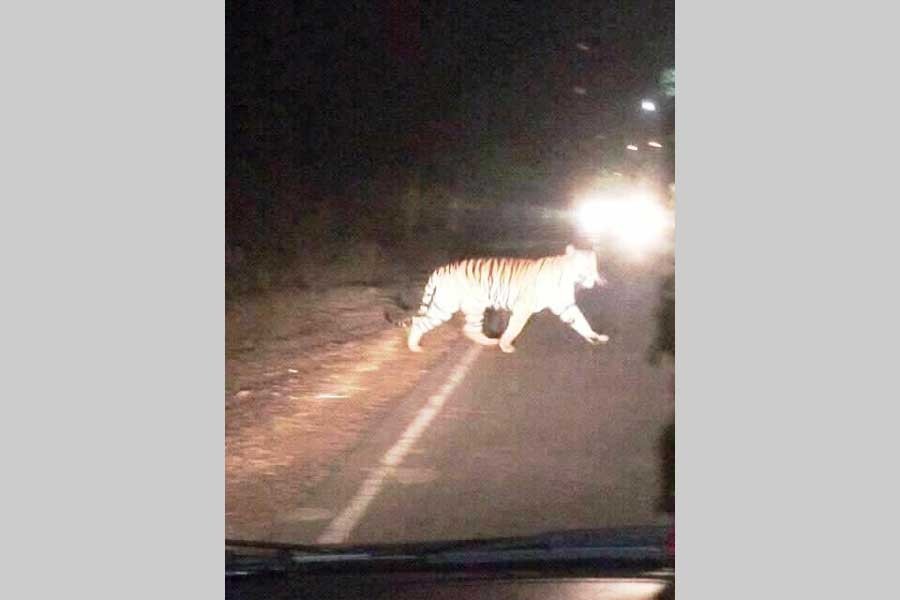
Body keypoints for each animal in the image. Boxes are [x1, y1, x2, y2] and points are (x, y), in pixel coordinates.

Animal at [395, 244, 610, 353]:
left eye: (594, 266)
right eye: (584, 266)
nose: (595, 278)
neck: (570, 279)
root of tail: (440, 269)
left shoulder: (566, 306)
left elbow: (581, 321)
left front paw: (595, 337)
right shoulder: (524, 307)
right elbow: (515, 327)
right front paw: (506, 345)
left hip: (469, 306)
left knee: (467, 329)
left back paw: (488, 342)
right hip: (447, 306)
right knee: (423, 323)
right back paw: (414, 347)